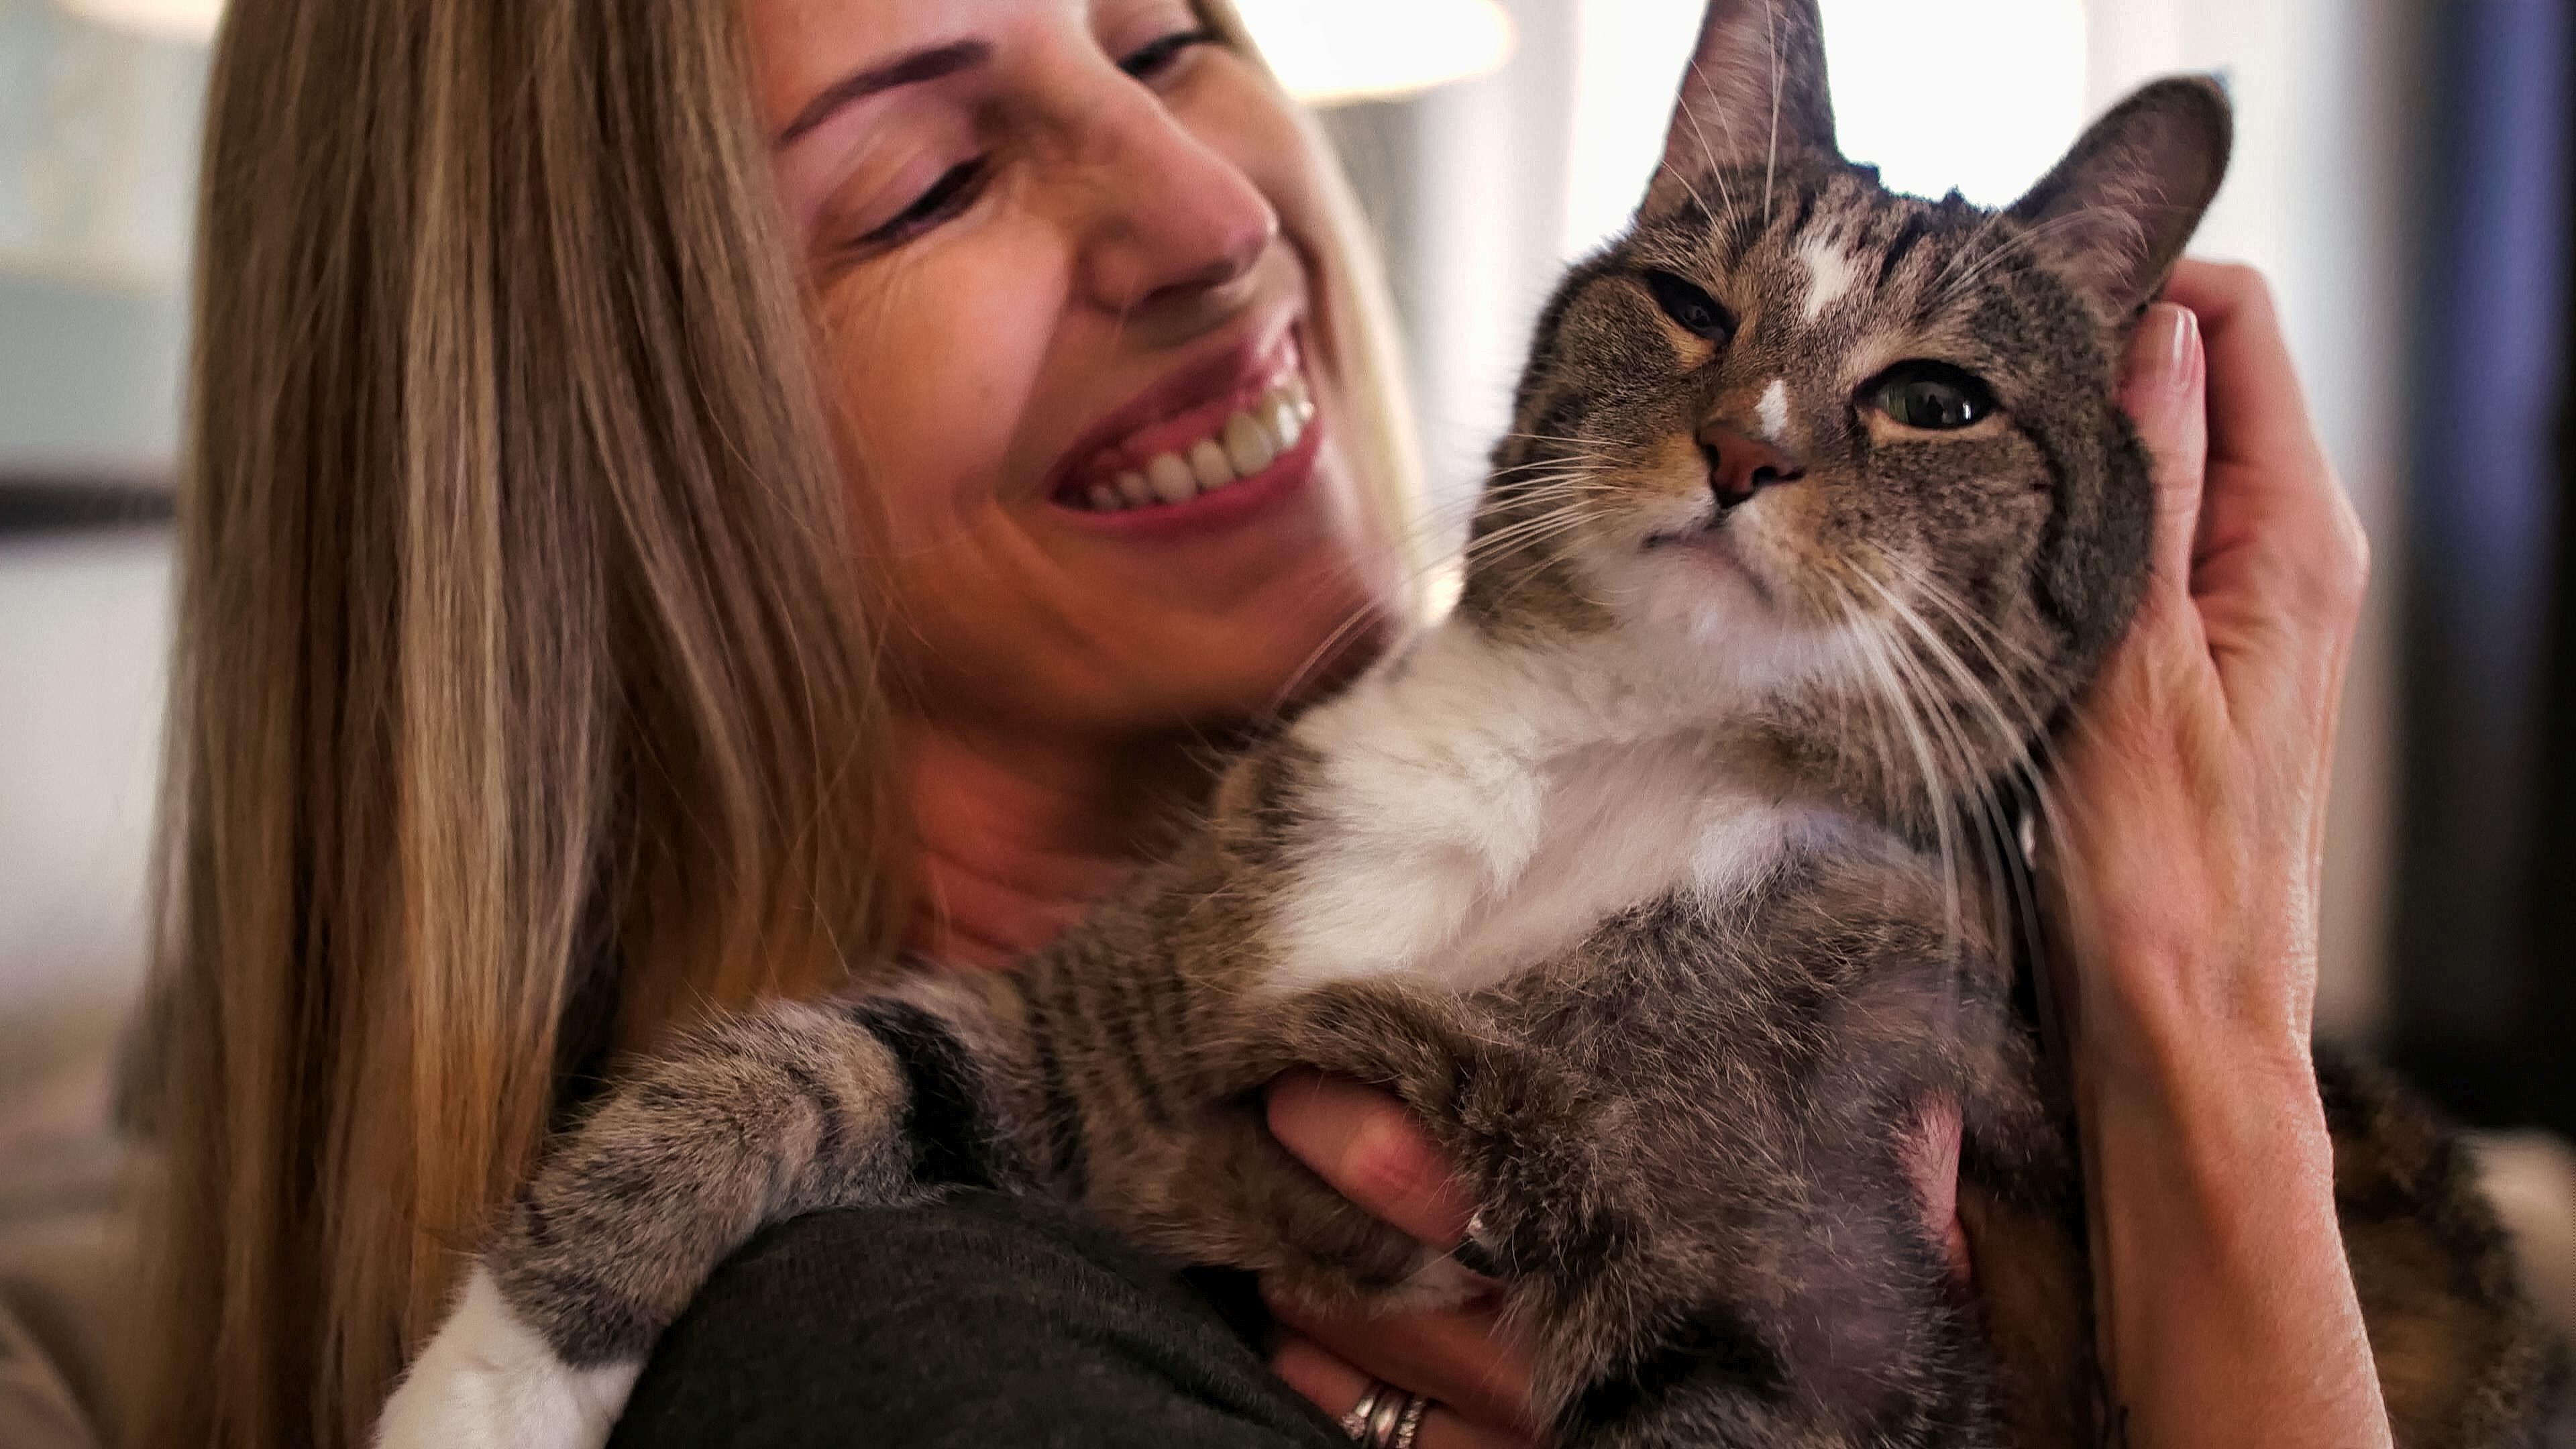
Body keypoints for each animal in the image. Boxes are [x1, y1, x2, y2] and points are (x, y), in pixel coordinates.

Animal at [377, 2, 2563, 1445]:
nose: (1744, 449)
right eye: (1687, 306)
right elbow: (786, 1067)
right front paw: (481, 1385)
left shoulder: (1790, 1316)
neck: (1588, 766)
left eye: (1934, 401)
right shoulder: (1132, 1035)